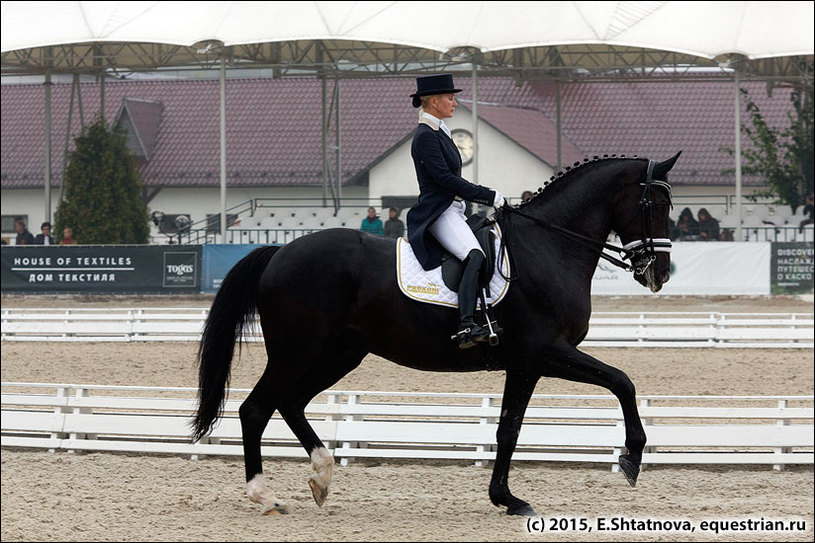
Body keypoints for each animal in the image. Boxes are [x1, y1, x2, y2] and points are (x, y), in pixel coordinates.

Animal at [193, 152, 684, 516]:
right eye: (656, 206)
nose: (658, 274)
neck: (549, 246)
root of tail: (279, 251)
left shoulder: (525, 364)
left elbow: (508, 429)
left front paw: (505, 499)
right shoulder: (544, 351)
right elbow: (622, 381)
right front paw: (631, 458)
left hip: (339, 354)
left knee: (291, 403)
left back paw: (322, 477)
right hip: (296, 350)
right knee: (257, 408)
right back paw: (265, 496)